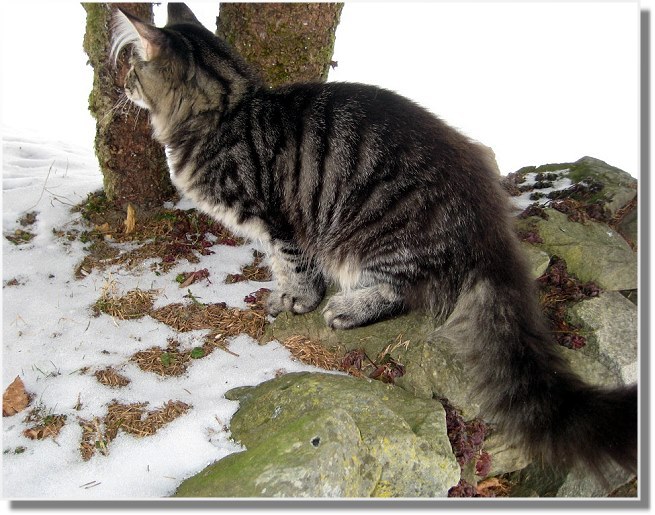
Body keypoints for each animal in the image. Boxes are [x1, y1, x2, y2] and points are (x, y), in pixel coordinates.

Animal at [112, 3, 637, 479]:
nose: (120, 86)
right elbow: (279, 267)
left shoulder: (279, 220)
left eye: (134, 70)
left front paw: (298, 301)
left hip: (377, 236)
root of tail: (488, 220)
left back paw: (349, 308)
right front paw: (280, 296)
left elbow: (295, 265)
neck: (228, 111)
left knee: (405, 293)